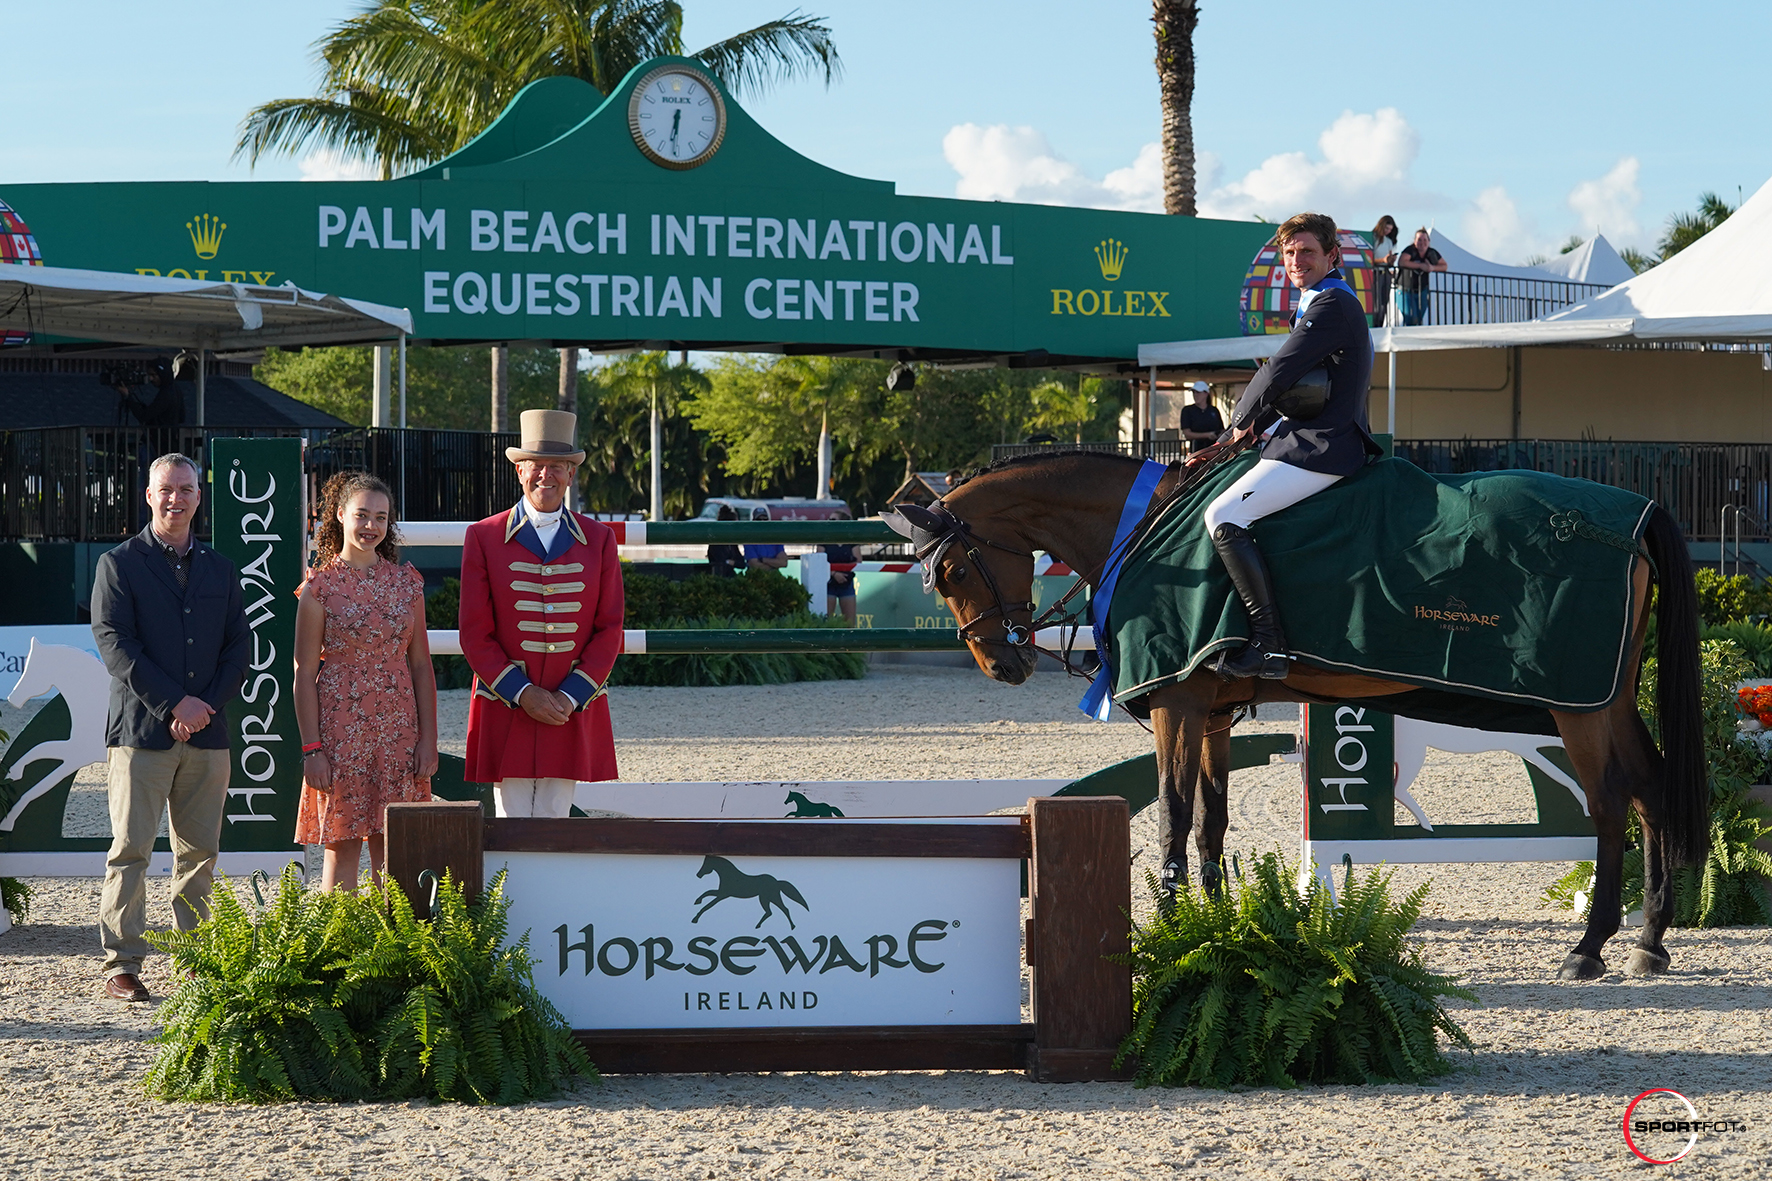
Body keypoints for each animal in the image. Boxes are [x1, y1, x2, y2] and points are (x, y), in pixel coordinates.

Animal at [900, 446, 1701, 978]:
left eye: (950, 571)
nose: (1003, 665)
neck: (1145, 530)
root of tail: (1634, 515)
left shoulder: (1177, 705)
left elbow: (1171, 813)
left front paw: (1170, 929)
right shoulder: (1210, 713)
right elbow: (1212, 819)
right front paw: (1214, 928)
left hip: (1578, 707)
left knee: (1610, 803)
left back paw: (1589, 948)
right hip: (1609, 699)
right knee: (1652, 788)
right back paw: (1649, 940)